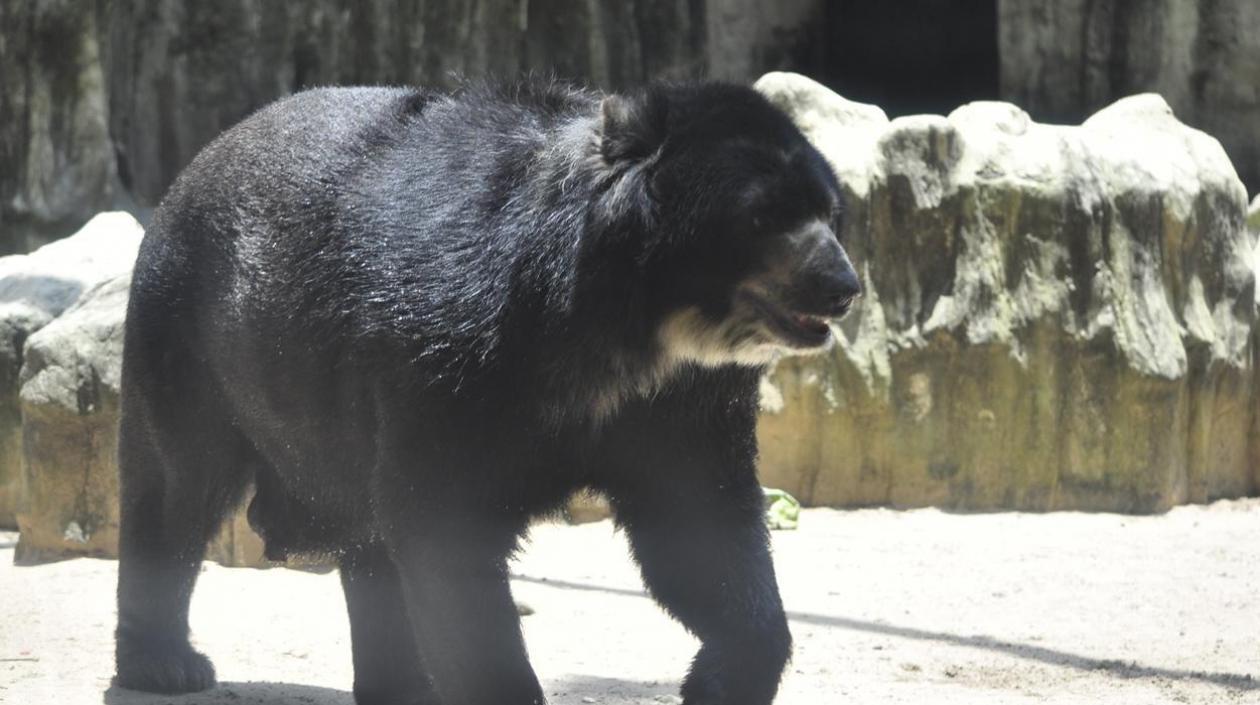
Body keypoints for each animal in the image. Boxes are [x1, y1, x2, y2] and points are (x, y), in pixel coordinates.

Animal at [113, 79, 861, 705]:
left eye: (829, 211)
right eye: (763, 216)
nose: (843, 287)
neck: (617, 329)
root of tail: (192, 169)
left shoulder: (681, 401)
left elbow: (701, 524)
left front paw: (717, 679)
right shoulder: (451, 354)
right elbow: (449, 528)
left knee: (367, 543)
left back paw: (399, 683)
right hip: (194, 340)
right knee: (175, 488)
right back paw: (167, 663)